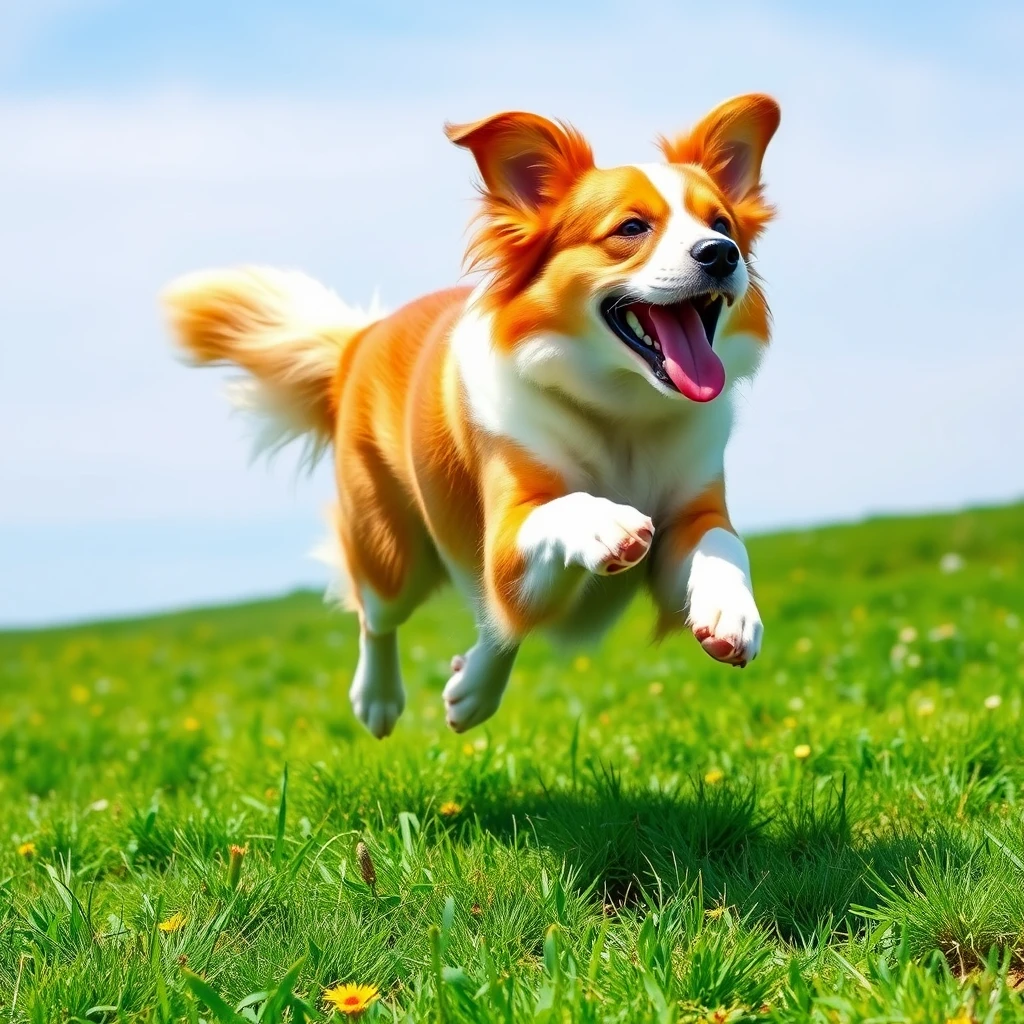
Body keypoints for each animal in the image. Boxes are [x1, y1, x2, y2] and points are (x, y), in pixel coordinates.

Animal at [163, 94, 778, 737]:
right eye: (632, 228)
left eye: (723, 224)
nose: (721, 254)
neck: (620, 411)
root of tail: (359, 339)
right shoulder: (506, 538)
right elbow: (561, 509)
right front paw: (606, 521)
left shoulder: (690, 514)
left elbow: (724, 544)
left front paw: (730, 613)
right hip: (391, 551)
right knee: (382, 614)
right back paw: (379, 696)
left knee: (499, 624)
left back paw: (472, 687)